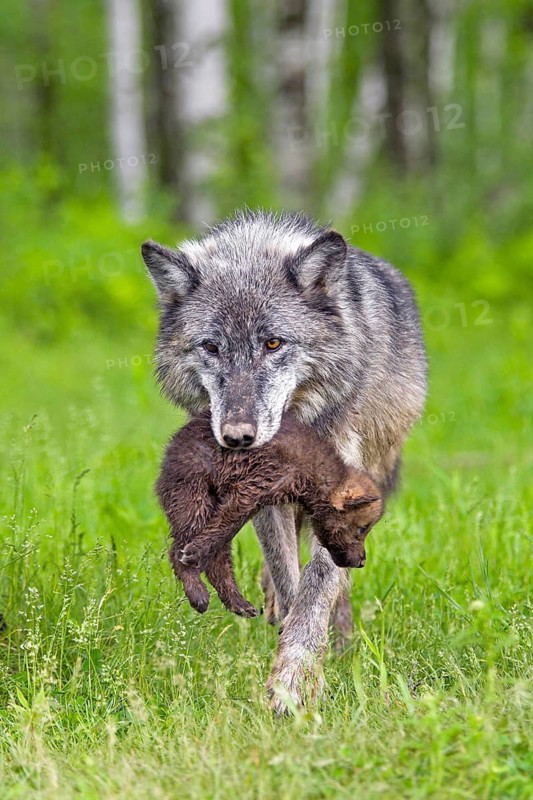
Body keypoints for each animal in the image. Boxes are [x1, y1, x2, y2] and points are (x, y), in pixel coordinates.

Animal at [142, 210, 427, 713]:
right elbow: (287, 573)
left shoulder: (341, 490)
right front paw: (292, 655)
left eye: (274, 343)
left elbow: (319, 584)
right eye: (211, 347)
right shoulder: (263, 491)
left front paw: (294, 681)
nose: (237, 437)